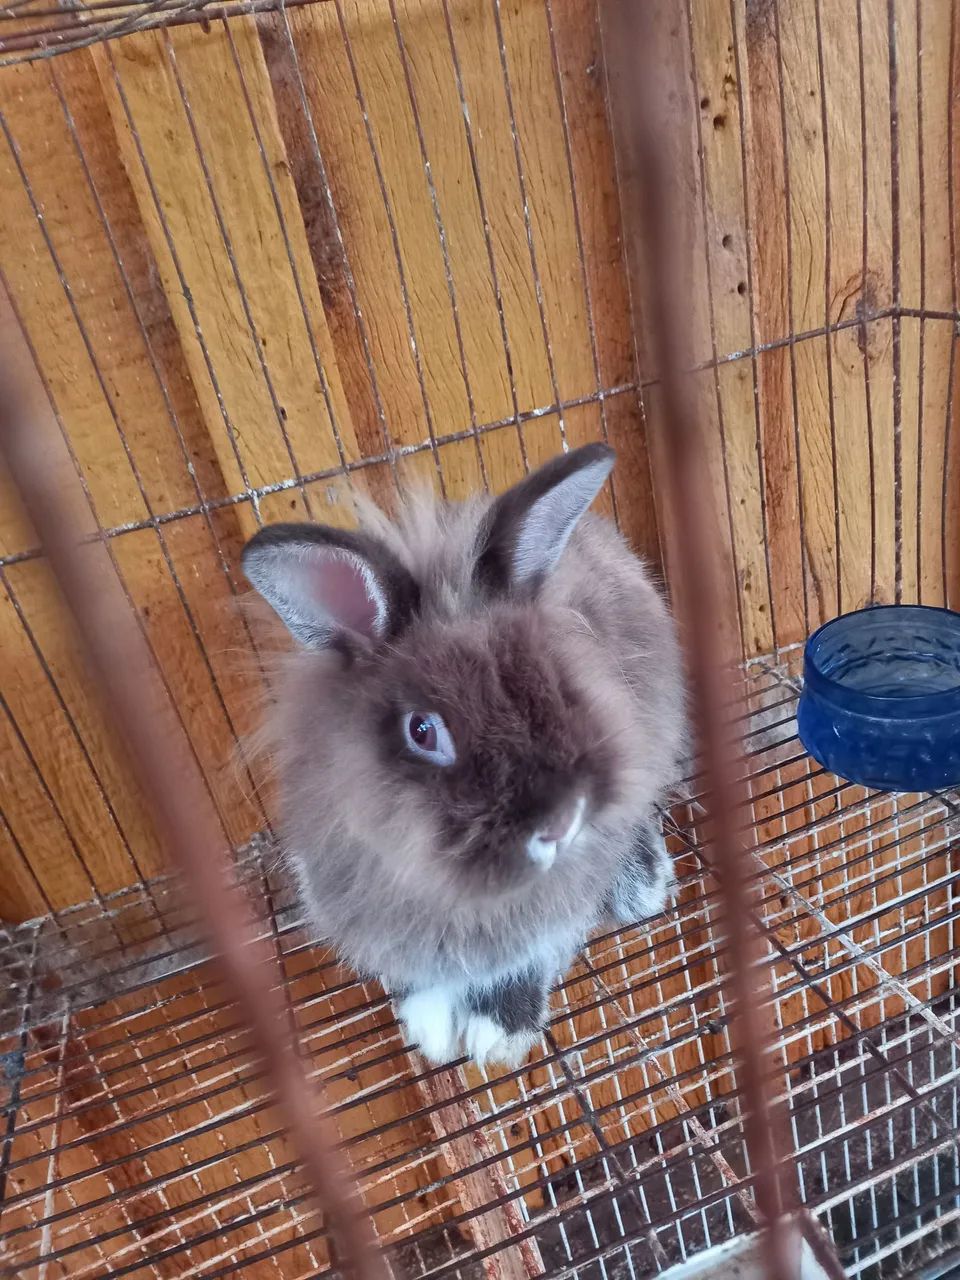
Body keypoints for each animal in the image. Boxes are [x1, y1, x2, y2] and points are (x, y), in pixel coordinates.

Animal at [242, 443, 685, 1069]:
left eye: (558, 683)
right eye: (422, 731)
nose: (562, 821)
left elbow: (526, 959)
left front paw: (494, 1033)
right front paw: (426, 1022)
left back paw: (642, 883)